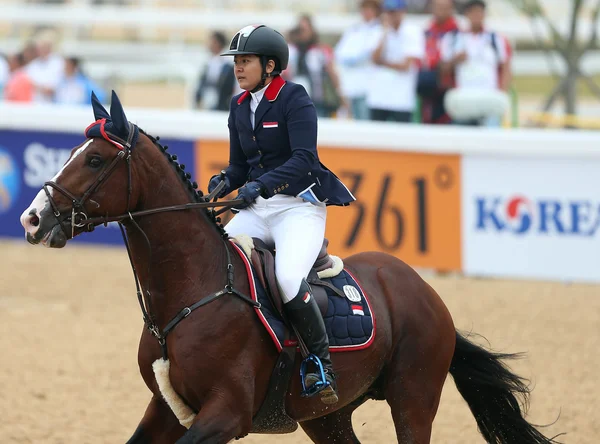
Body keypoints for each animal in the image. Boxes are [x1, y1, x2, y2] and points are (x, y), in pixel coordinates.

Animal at [19, 92, 564, 442]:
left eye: (94, 160)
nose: (33, 218)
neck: (192, 294)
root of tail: (423, 290)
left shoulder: (225, 414)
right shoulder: (167, 410)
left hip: (413, 400)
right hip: (329, 417)